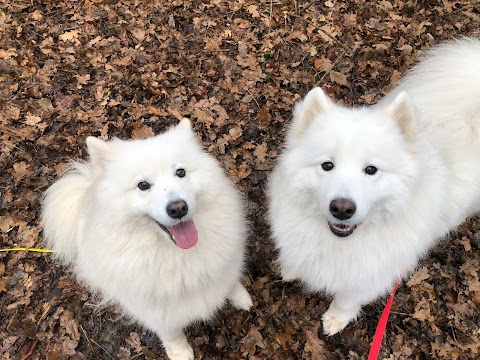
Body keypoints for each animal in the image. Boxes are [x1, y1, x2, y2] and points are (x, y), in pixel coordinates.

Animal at [43, 119, 253, 360]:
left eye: (180, 172)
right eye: (143, 185)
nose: (178, 208)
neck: (178, 254)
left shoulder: (224, 265)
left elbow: (230, 281)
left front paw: (240, 296)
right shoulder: (155, 310)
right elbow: (171, 333)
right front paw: (180, 352)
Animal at [268, 38, 480, 336]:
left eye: (371, 170)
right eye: (327, 165)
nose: (342, 208)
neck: (342, 243)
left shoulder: (371, 276)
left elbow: (346, 301)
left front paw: (336, 319)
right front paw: (291, 269)